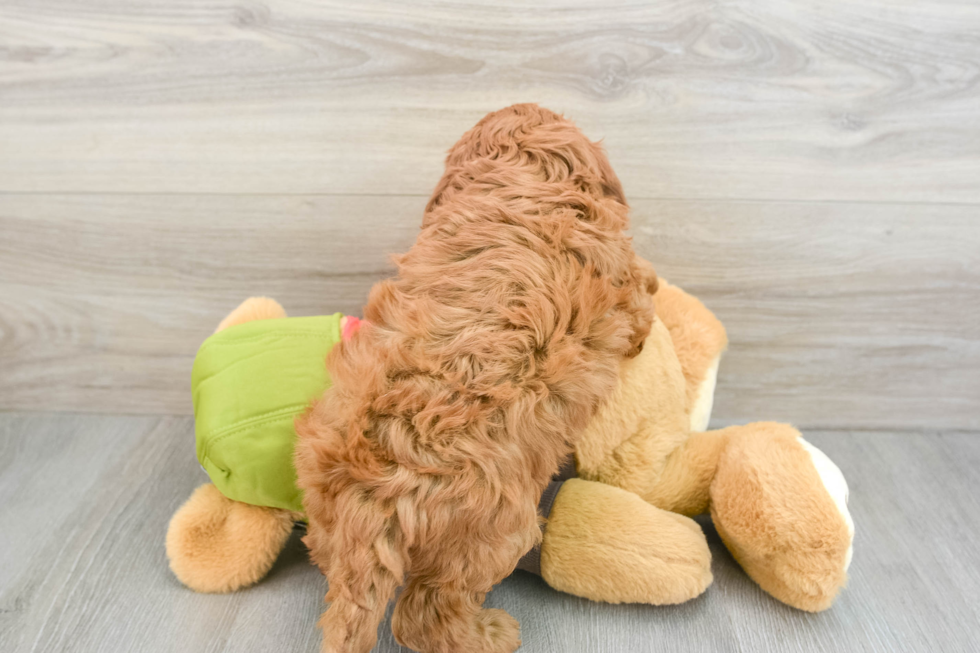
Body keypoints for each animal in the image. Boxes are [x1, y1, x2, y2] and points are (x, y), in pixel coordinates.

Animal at [294, 103, 656, 652]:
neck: (523, 173)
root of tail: (372, 492)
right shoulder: (620, 278)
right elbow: (643, 299)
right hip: (491, 535)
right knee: (425, 614)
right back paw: (490, 633)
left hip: (321, 494)